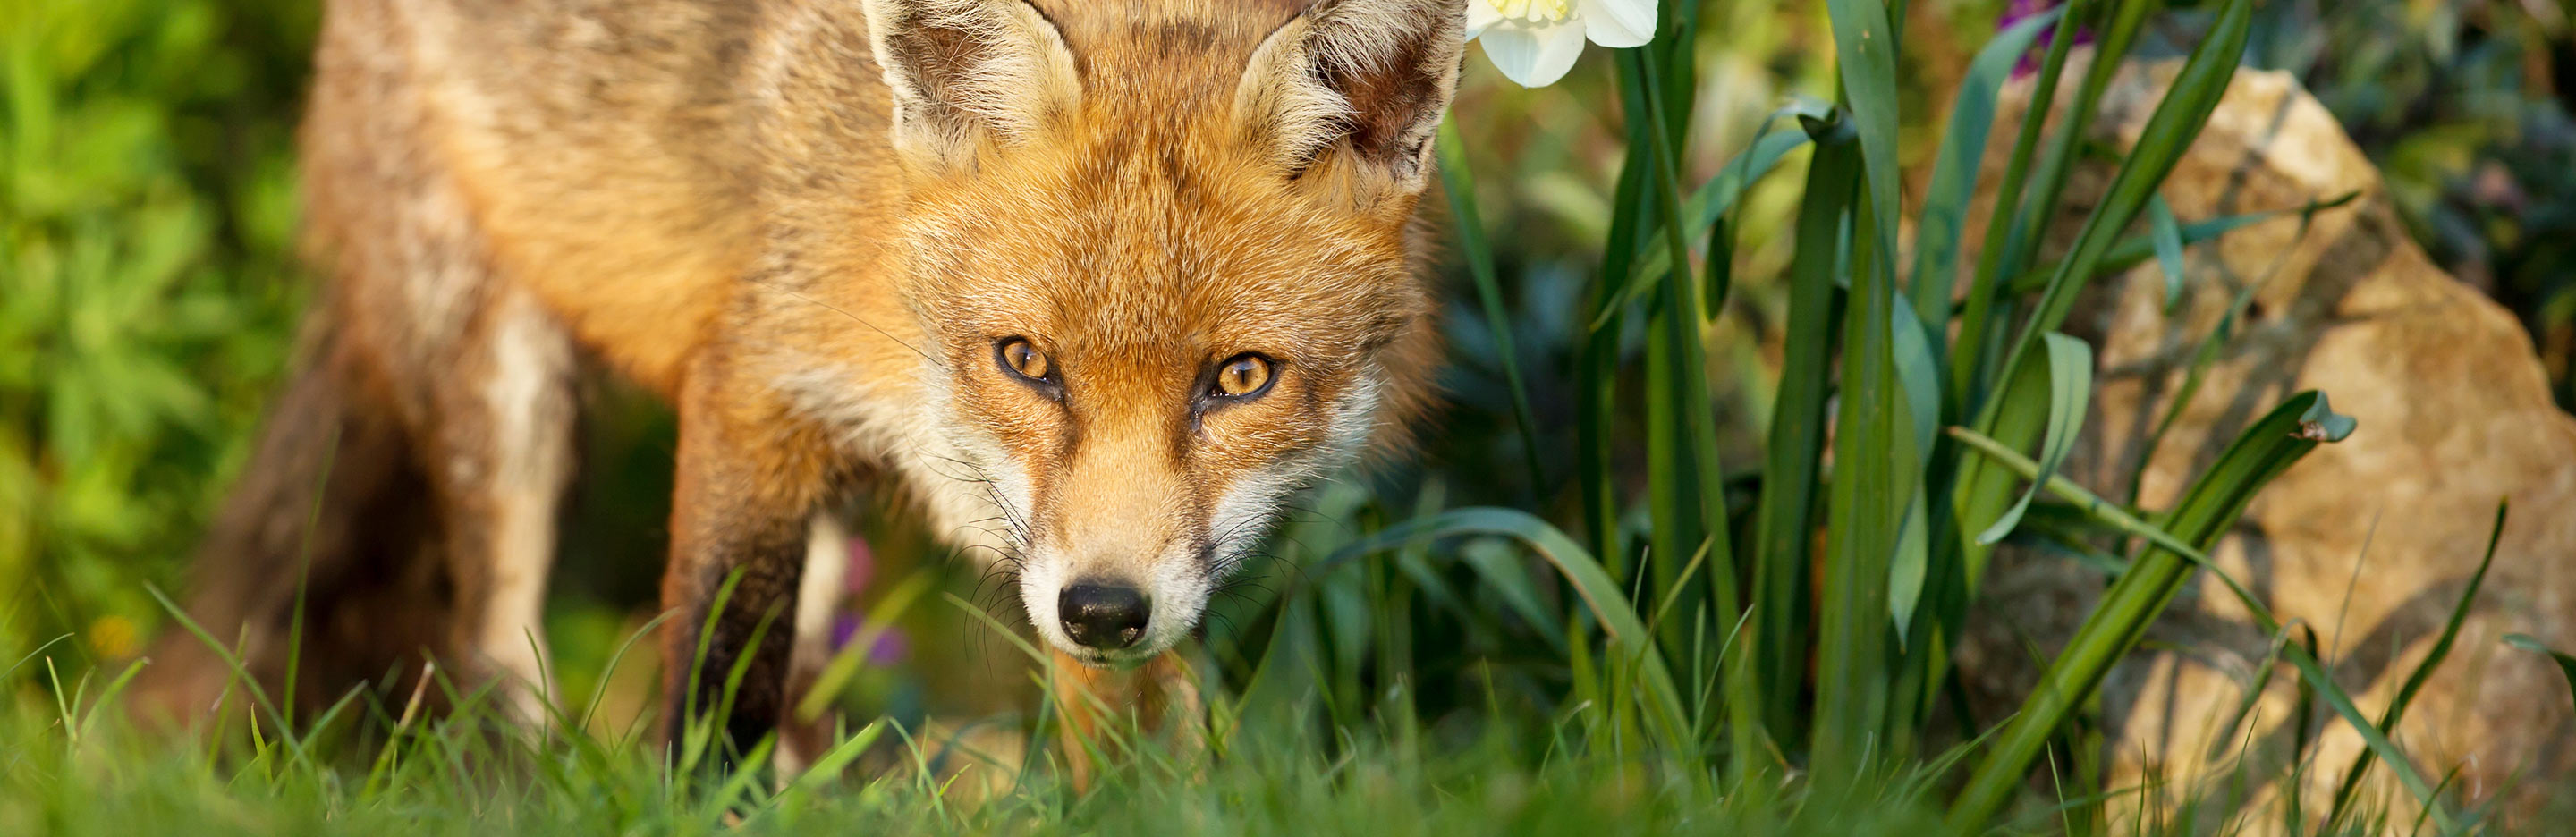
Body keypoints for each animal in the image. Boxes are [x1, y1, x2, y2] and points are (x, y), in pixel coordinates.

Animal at [140, 0, 1464, 772]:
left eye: (1239, 379)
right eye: (1025, 363)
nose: (1102, 610)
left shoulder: (1082, 561)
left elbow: (1128, 744)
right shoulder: (755, 381)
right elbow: (717, 666)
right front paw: (692, 801)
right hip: (499, 396)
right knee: (489, 666)